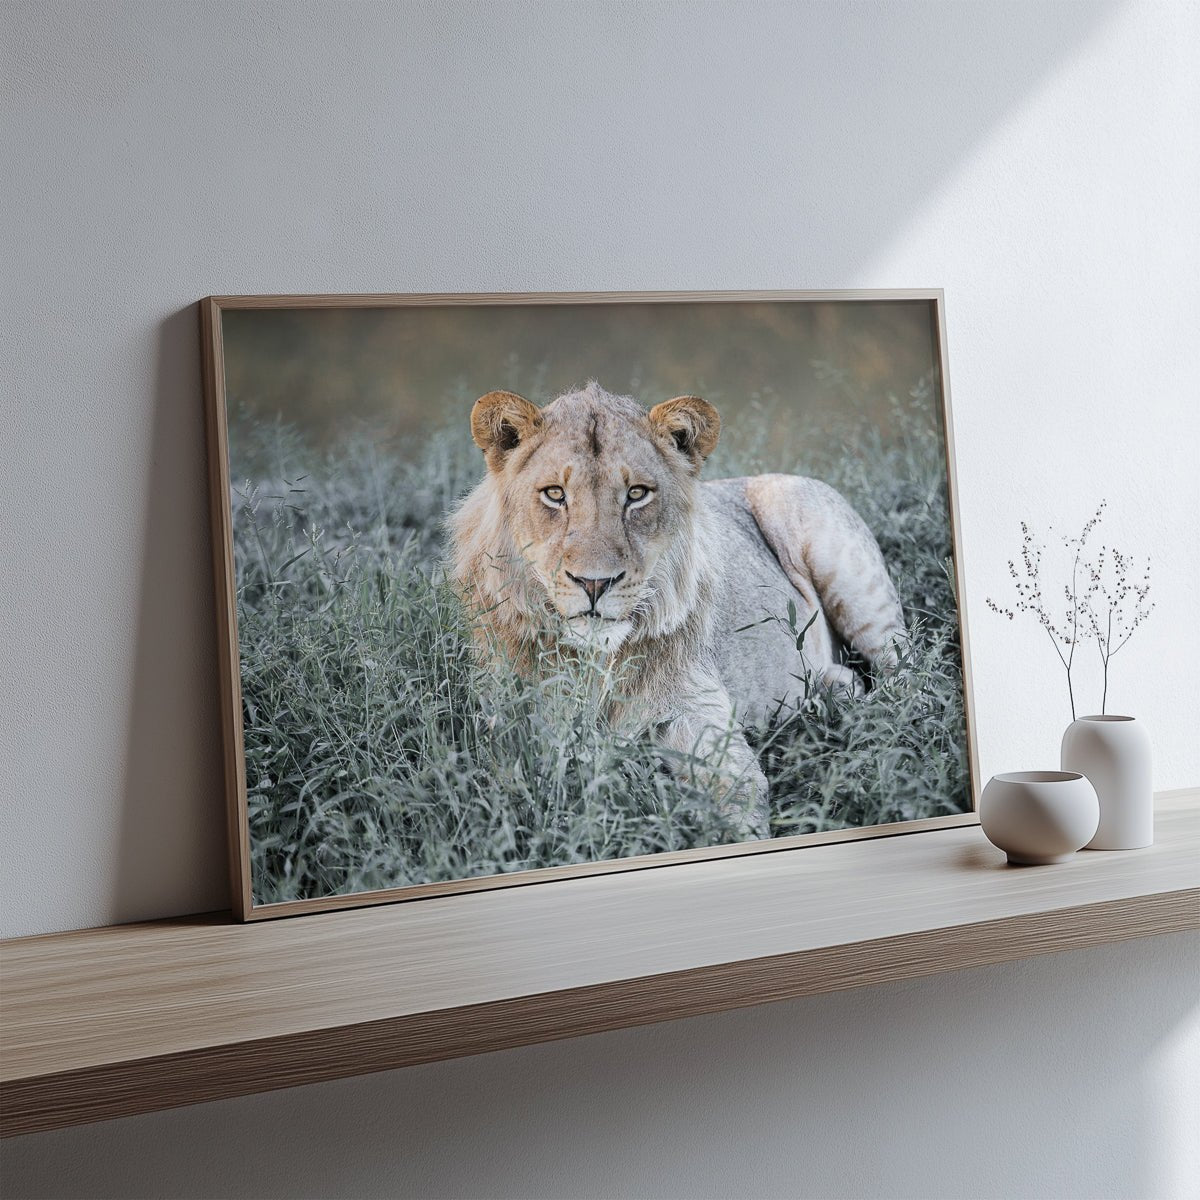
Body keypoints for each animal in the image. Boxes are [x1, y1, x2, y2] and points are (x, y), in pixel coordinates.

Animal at [449, 381, 906, 838]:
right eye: (555, 495)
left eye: (636, 494)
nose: (595, 583)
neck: (596, 666)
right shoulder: (506, 723)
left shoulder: (697, 710)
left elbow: (738, 793)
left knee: (906, 675)